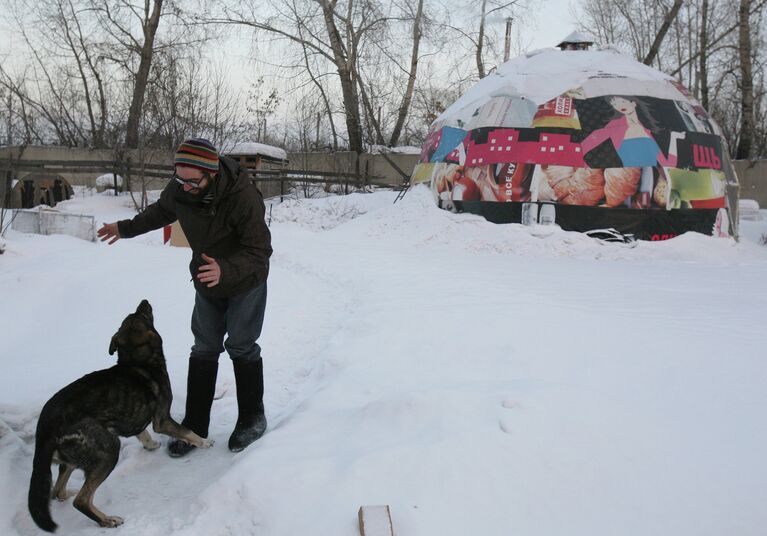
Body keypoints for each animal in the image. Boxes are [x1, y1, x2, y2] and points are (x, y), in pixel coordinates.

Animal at [27, 300, 213, 528]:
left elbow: (142, 432)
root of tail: (45, 428)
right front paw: (204, 442)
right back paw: (107, 520)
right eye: (141, 316)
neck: (135, 360)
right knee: (82, 500)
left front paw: (151, 445)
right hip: (108, 449)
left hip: (71, 459)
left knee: (57, 491)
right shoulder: (162, 419)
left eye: (132, 316)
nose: (144, 301)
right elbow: (186, 431)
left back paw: (70, 494)